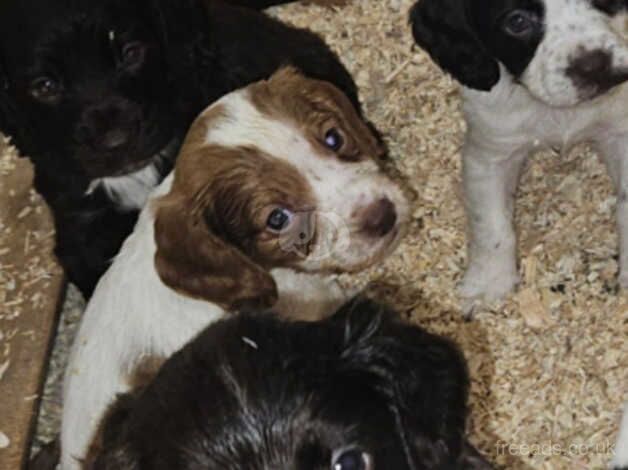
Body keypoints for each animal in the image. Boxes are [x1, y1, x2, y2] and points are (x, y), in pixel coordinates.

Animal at [410, 0, 628, 304]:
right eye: (516, 22)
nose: (595, 66)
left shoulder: (621, 132)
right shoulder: (489, 154)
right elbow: (492, 226)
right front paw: (488, 285)